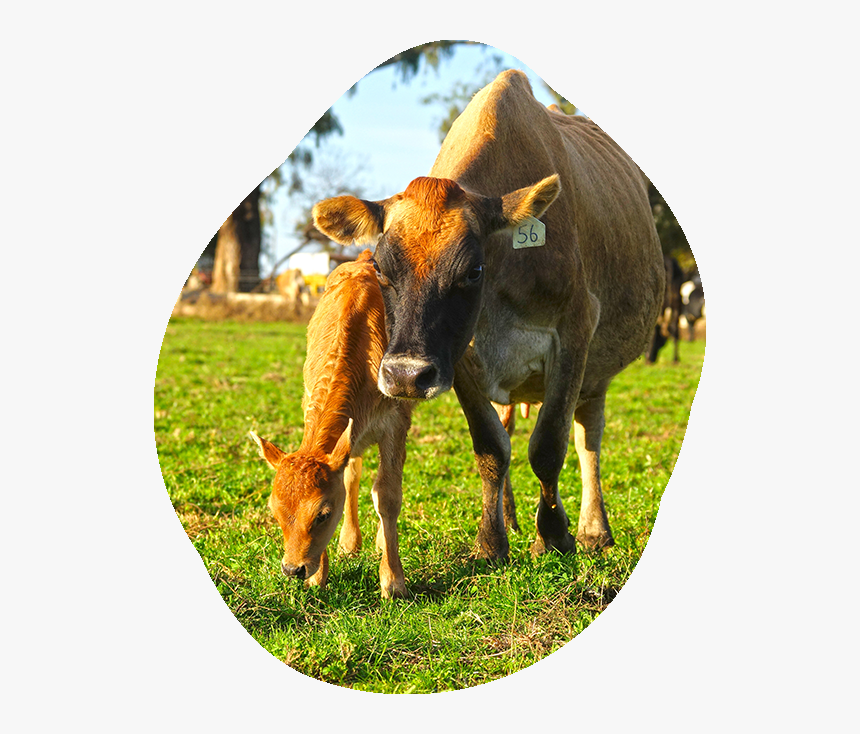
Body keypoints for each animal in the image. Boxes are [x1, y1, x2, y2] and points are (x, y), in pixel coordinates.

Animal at [249, 251, 413, 598]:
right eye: (274, 511)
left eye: (322, 514)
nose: (293, 569)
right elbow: (349, 479)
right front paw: (318, 575)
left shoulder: (396, 420)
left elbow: (388, 495)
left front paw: (393, 581)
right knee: (353, 474)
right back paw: (350, 543)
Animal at [313, 70, 664, 561]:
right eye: (381, 268)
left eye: (472, 270)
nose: (404, 376)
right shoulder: (459, 358)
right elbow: (491, 448)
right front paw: (491, 541)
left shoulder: (575, 330)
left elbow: (549, 445)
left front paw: (554, 534)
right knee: (510, 428)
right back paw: (512, 517)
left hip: (597, 368)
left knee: (587, 436)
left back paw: (594, 529)